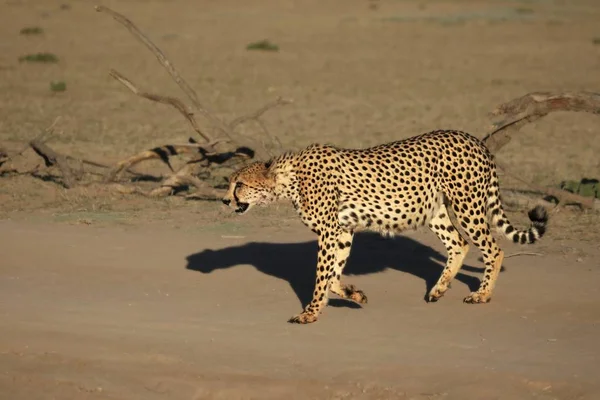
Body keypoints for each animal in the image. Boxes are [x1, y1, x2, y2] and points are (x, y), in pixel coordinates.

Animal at [221, 130, 548, 324]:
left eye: (240, 185)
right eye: (230, 183)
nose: (225, 200)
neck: (290, 179)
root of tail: (472, 138)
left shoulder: (329, 231)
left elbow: (322, 275)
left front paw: (310, 313)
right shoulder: (342, 230)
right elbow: (333, 275)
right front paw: (353, 293)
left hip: (466, 204)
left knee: (494, 249)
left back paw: (482, 295)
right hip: (433, 209)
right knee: (459, 243)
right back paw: (438, 289)